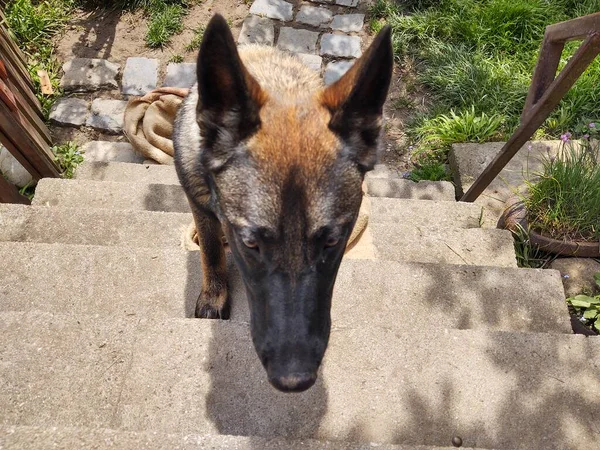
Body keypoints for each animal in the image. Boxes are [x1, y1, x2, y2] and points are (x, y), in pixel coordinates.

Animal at [172, 14, 394, 394]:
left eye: (331, 241)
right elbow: (212, 250)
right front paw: (214, 293)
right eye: (250, 244)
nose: (293, 379)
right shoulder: (199, 204)